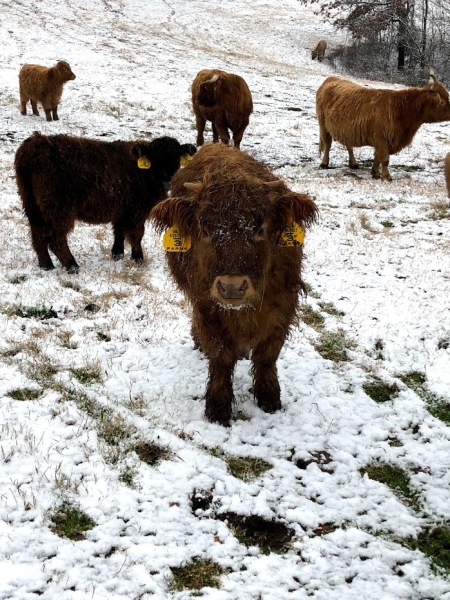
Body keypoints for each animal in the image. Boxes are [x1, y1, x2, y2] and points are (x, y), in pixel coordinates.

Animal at [14, 132, 197, 274]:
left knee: (37, 235)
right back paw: (72, 265)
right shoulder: (137, 210)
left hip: (32, 206)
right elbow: (137, 234)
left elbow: (119, 231)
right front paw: (138, 257)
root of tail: (35, 143)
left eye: (176, 159)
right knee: (56, 239)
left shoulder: (122, 208)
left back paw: (46, 265)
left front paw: (117, 254)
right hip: (59, 208)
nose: (167, 178)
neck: (147, 174)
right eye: (155, 159)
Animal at [149, 144, 318, 426]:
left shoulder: (283, 306)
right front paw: (217, 407)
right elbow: (221, 357)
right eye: (205, 230)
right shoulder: (207, 307)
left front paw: (269, 398)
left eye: (259, 229)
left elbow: (267, 355)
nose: (231, 286)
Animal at [314, 70, 450, 180]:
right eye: (443, 102)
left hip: (346, 129)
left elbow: (377, 158)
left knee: (349, 145)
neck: (401, 110)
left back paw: (353, 164)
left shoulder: (383, 141)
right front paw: (386, 176)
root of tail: (332, 79)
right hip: (323, 125)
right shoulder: (382, 139)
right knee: (327, 144)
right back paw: (324, 163)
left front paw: (375, 173)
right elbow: (384, 159)